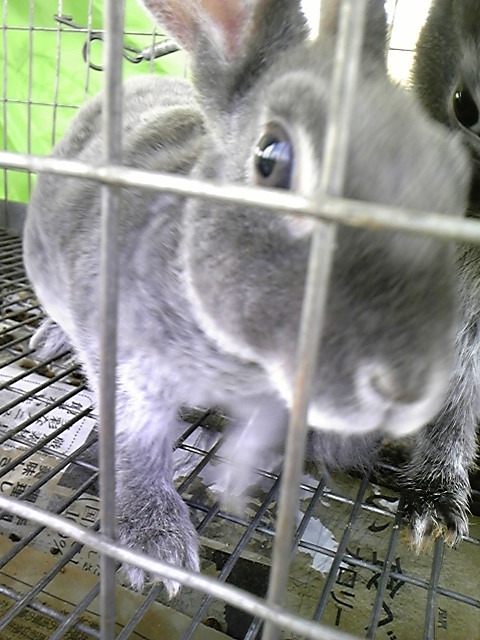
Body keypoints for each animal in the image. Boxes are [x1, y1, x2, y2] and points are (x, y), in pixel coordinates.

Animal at [22, 0, 471, 596]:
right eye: (272, 157)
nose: (410, 382)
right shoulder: (123, 355)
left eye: (451, 172)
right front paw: (157, 551)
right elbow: (137, 446)